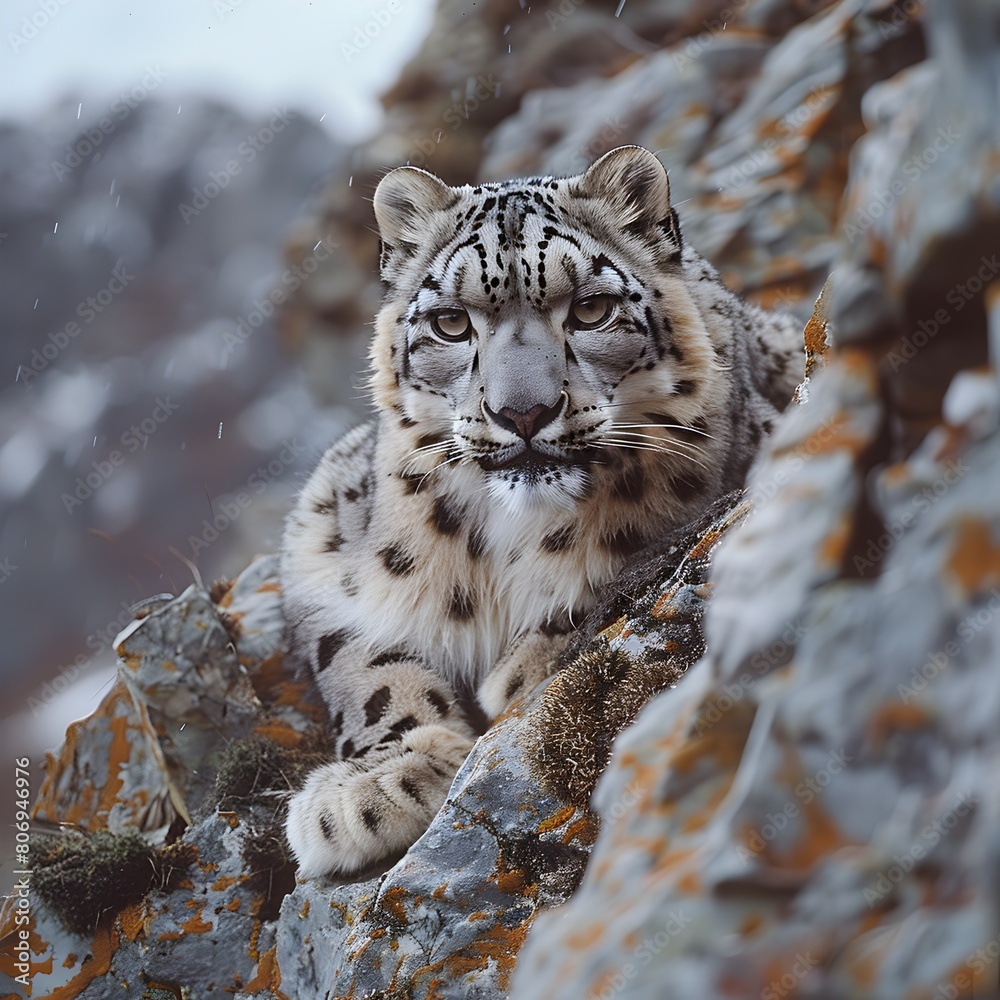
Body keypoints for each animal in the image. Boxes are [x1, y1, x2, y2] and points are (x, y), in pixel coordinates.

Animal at [280, 145, 804, 878]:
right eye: (450, 322)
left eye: (590, 309)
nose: (522, 412)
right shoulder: (319, 534)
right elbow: (364, 661)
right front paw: (376, 784)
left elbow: (624, 566)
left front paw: (521, 671)